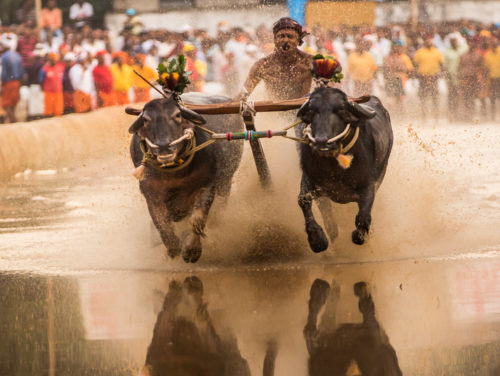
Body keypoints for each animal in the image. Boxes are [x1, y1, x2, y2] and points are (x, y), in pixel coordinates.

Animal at [128, 93, 243, 262]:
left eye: (177, 115)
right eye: (147, 119)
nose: (164, 146)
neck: (174, 173)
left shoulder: (207, 184)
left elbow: (198, 218)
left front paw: (192, 250)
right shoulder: (151, 195)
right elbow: (161, 224)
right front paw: (173, 249)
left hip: (225, 182)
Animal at [294, 86, 392, 248]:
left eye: (340, 109)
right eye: (313, 109)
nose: (321, 142)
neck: (335, 168)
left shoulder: (369, 185)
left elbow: (363, 216)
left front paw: (359, 236)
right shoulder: (309, 178)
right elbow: (303, 200)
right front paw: (317, 240)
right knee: (326, 210)